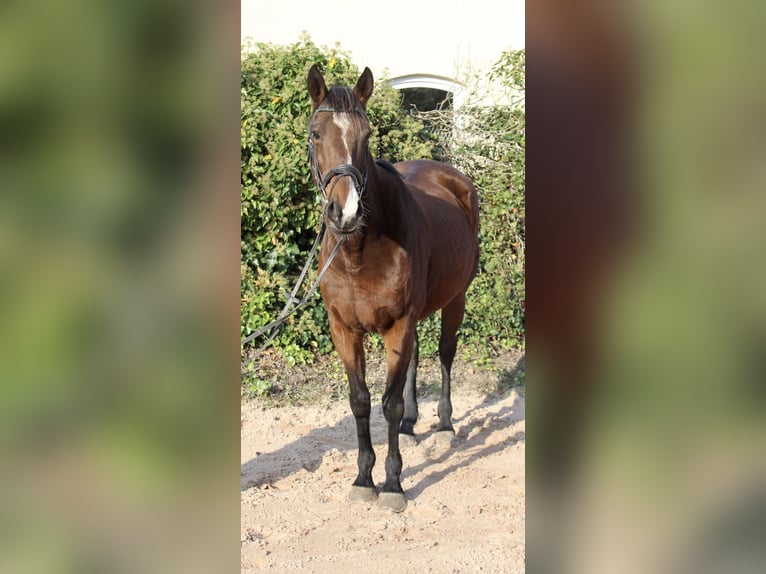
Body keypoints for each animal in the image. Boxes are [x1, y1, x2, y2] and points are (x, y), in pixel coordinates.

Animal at [306, 65, 480, 516]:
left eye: (366, 135)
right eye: (316, 133)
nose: (345, 212)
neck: (359, 251)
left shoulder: (398, 325)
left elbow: (389, 401)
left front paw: (392, 484)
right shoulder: (344, 330)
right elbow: (361, 401)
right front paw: (363, 478)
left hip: (456, 299)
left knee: (445, 354)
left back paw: (443, 425)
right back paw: (411, 426)